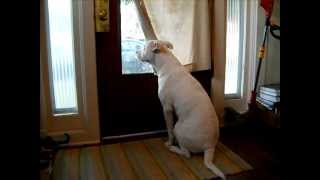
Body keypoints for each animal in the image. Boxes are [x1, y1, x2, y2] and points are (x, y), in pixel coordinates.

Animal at [137, 40, 225, 179]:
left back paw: (173, 149)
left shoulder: (167, 108)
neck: (165, 62)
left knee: (186, 154)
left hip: (178, 128)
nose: (135, 51)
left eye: (144, 47)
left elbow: (169, 129)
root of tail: (209, 147)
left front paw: (169, 143)